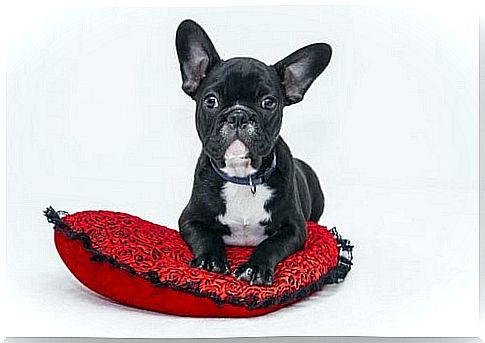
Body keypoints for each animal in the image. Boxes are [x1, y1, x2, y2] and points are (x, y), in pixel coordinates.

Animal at [176, 19, 330, 288]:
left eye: (268, 103)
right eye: (211, 101)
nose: (238, 115)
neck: (242, 176)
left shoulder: (295, 229)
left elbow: (271, 244)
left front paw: (255, 268)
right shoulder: (189, 219)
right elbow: (205, 236)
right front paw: (210, 259)